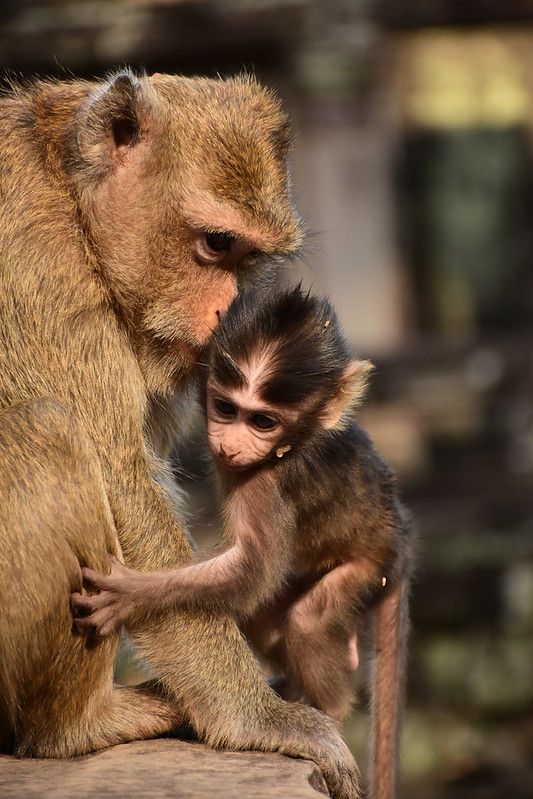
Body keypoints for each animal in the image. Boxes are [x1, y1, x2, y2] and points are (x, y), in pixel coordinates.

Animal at [0, 72, 360, 796]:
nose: (226, 313)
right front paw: (257, 715)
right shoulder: (41, 276)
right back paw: (75, 726)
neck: (67, 195)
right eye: (215, 244)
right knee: (48, 431)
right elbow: (123, 487)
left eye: (247, 256)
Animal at [72, 288, 410, 799]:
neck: (290, 445)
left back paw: (325, 712)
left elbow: (254, 568)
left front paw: (133, 593)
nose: (231, 442)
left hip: (369, 565)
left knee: (308, 618)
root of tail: (401, 535)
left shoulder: (266, 482)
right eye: (227, 409)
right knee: (267, 619)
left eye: (263, 421)